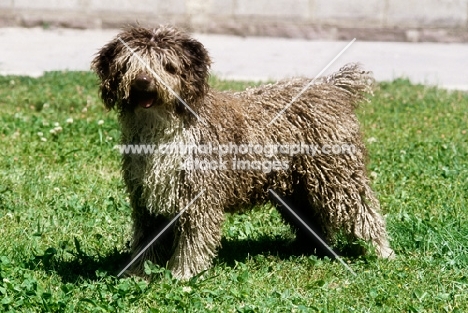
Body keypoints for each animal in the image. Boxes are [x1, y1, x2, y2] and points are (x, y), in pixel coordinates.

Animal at [90, 25, 392, 278]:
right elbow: (146, 241)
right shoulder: (147, 201)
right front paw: (137, 273)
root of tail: (331, 87)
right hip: (297, 191)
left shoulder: (199, 198)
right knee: (315, 223)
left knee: (366, 213)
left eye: (168, 67)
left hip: (339, 178)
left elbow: (194, 240)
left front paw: (183, 274)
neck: (163, 130)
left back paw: (383, 252)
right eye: (129, 63)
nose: (143, 82)